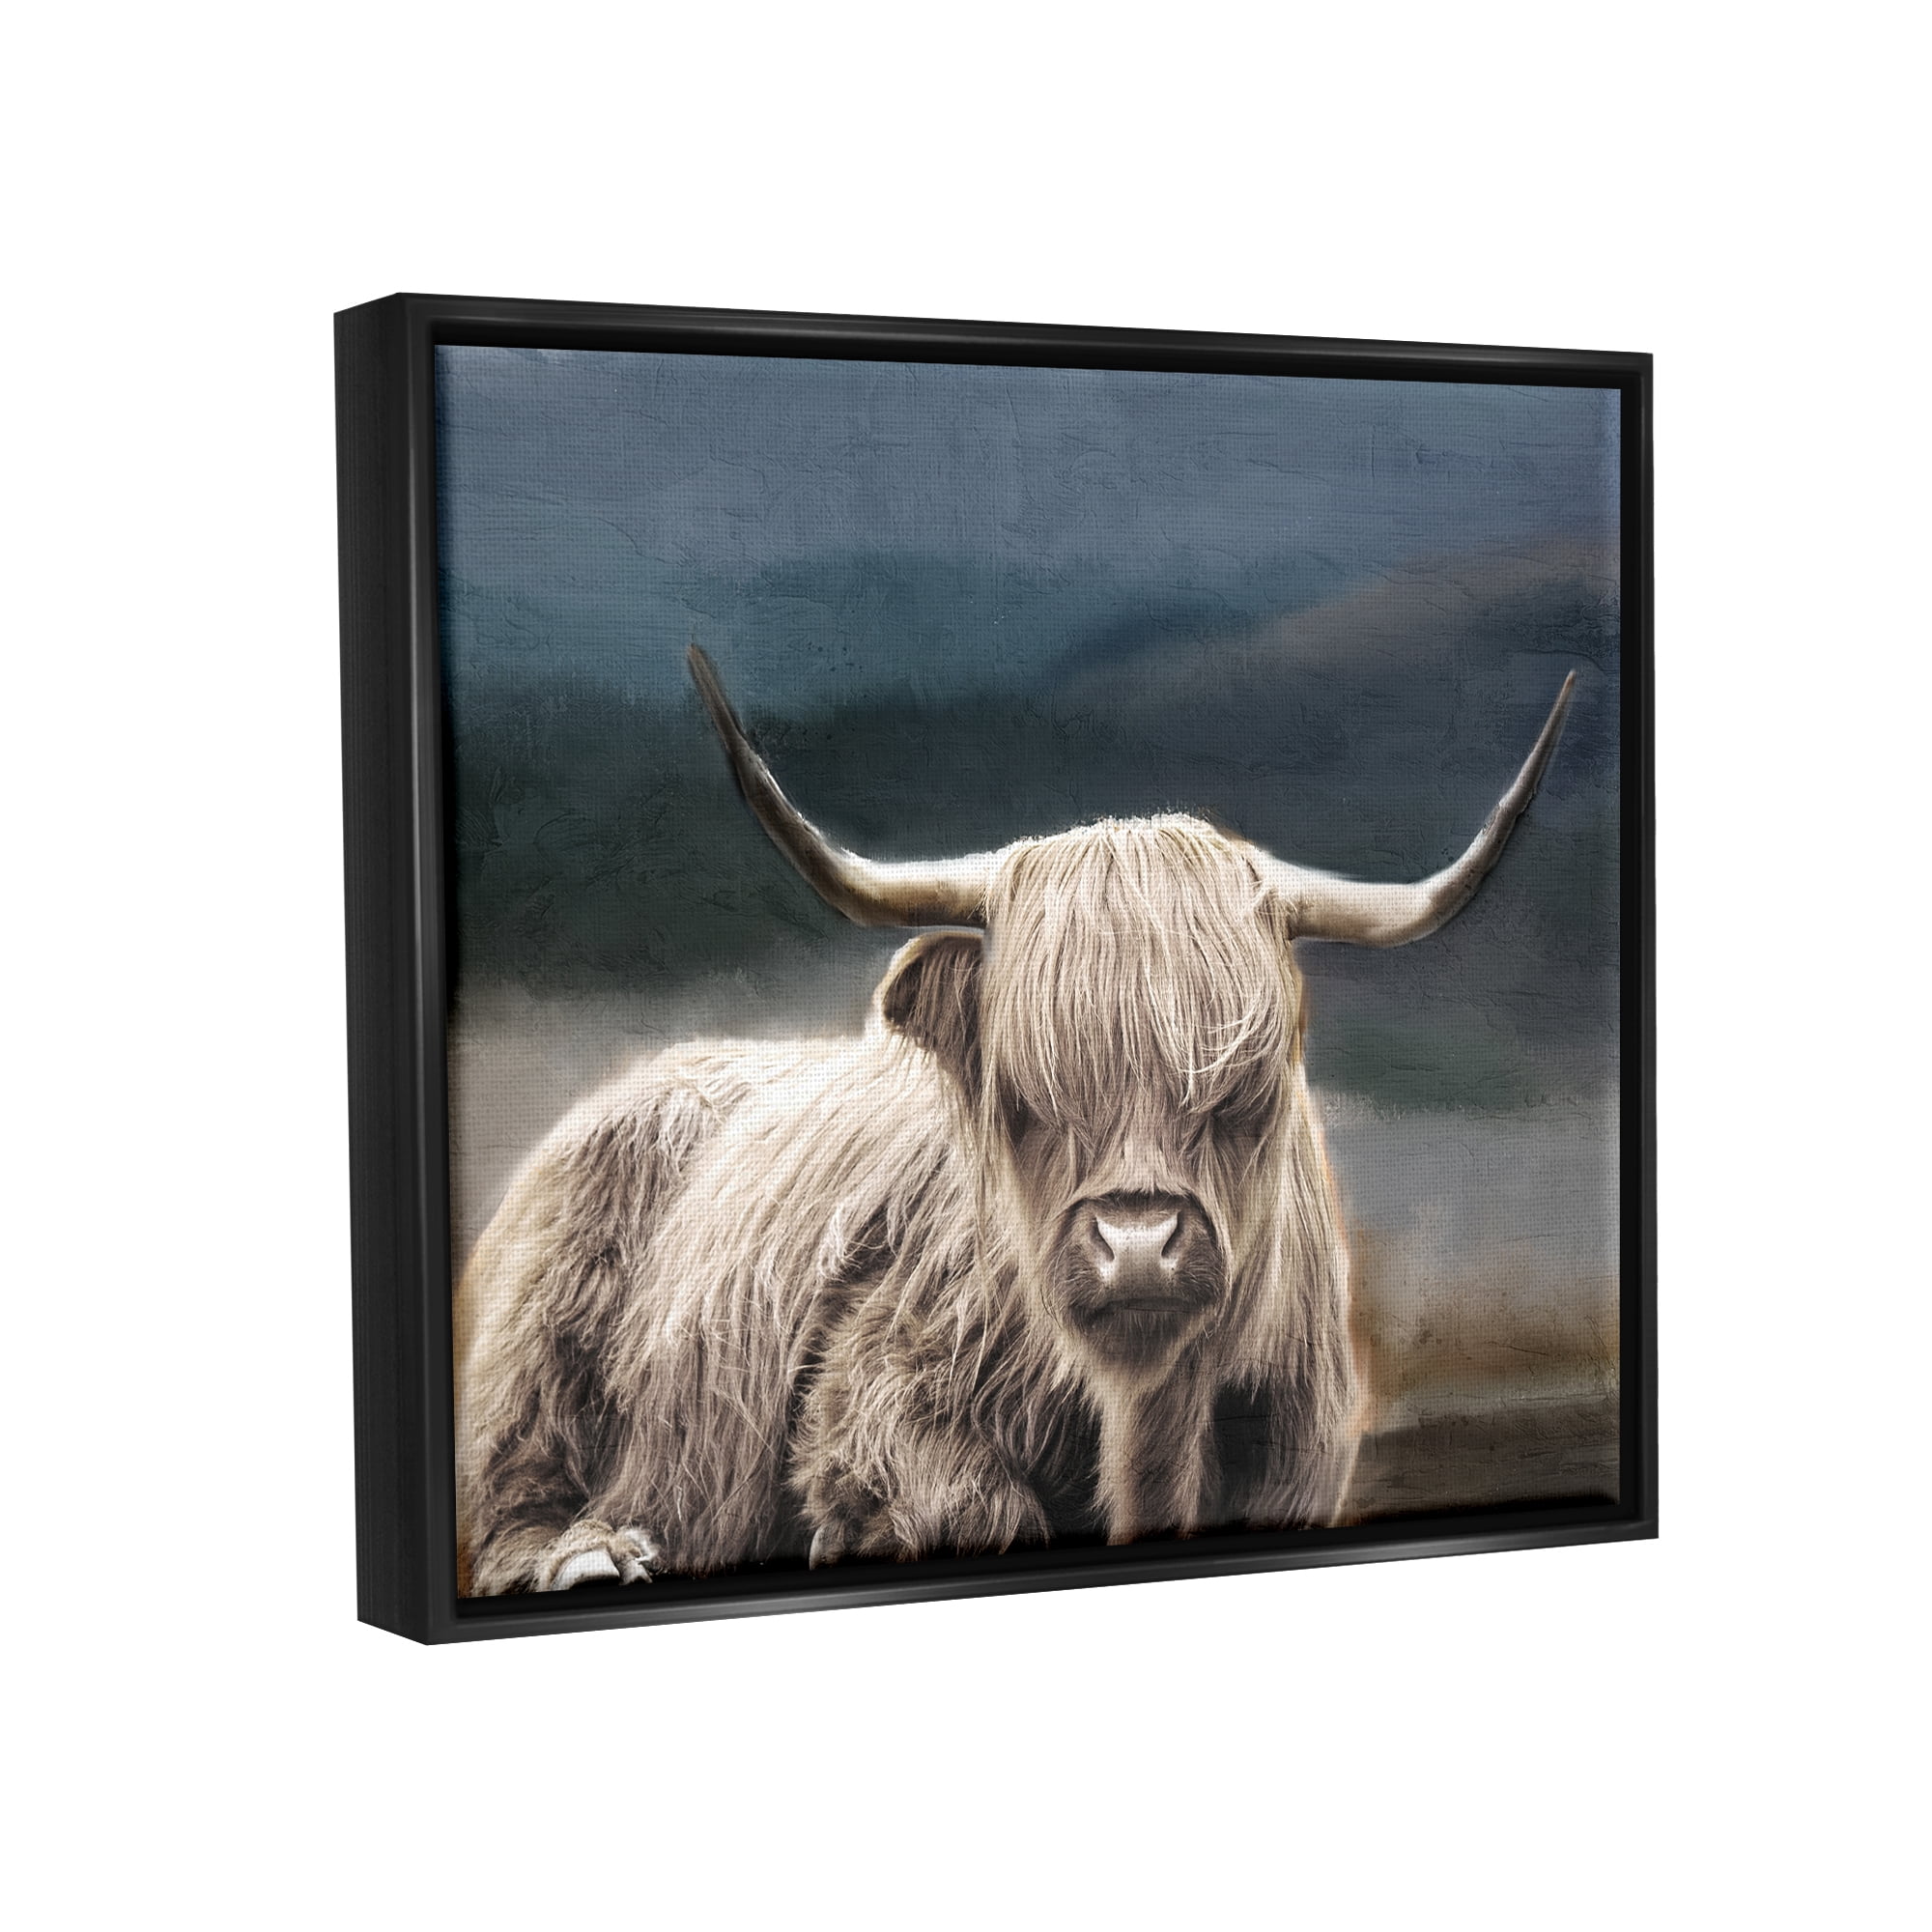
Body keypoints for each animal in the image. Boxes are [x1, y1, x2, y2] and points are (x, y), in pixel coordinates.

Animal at [453, 646, 1576, 1593]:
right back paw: (591, 1557)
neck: (1146, 1426)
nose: (1137, 1244)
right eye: (1026, 1091)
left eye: (1240, 1084)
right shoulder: (873, 1383)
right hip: (540, 1336)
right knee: (508, 1480)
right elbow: (971, 1503)